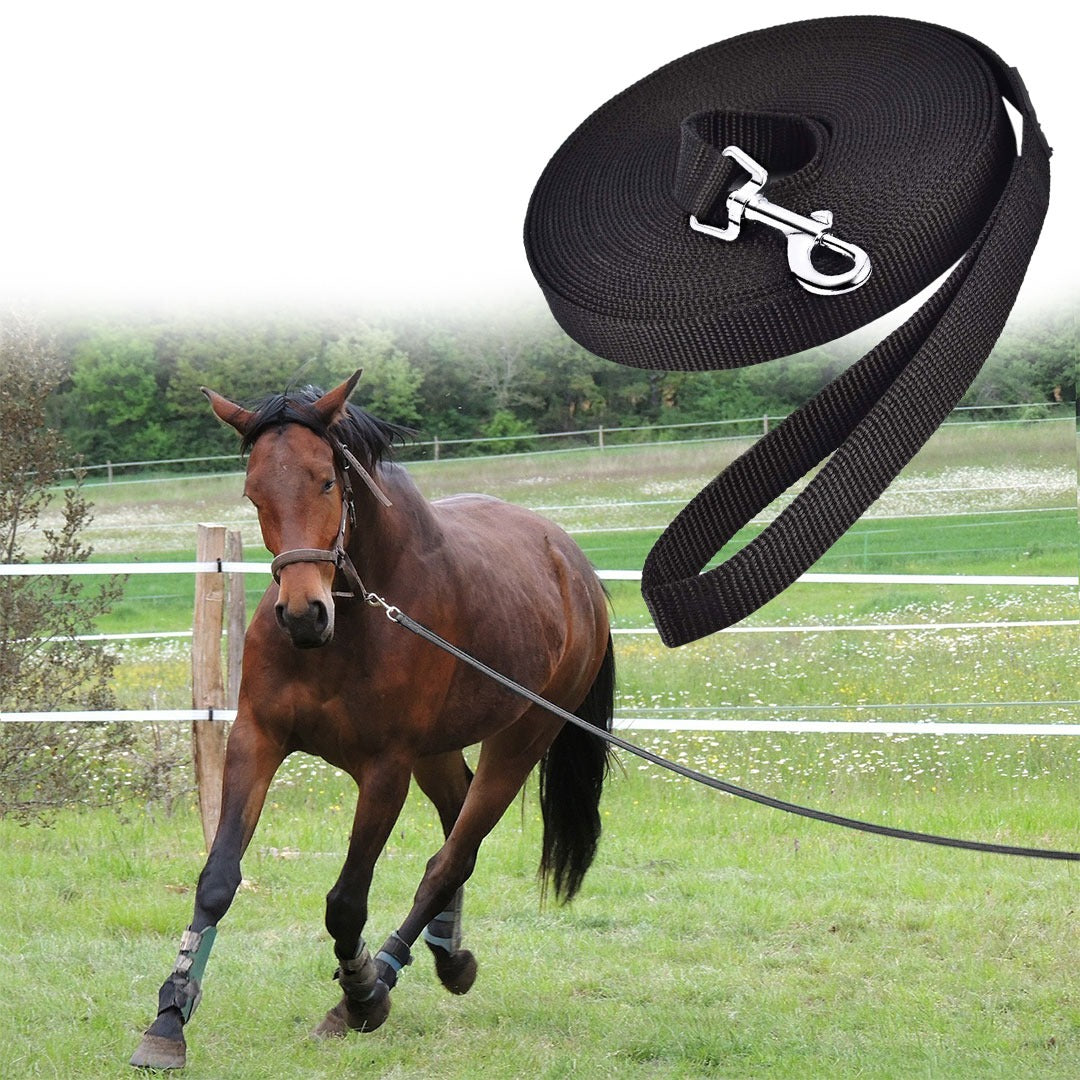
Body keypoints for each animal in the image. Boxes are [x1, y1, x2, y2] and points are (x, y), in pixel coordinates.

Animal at [130, 371, 615, 1070]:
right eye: (253, 492)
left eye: (326, 482)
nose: (303, 614)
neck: (350, 624)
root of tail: (576, 566)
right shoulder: (256, 739)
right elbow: (217, 879)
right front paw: (169, 1019)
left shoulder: (384, 772)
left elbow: (345, 904)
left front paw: (359, 994)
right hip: (437, 752)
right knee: (455, 828)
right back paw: (447, 953)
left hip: (521, 741)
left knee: (451, 858)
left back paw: (384, 973)